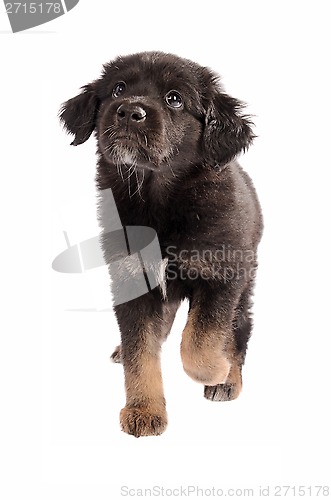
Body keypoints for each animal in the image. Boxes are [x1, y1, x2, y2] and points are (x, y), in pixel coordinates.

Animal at [59, 51, 262, 438]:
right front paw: (144, 410)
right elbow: (141, 353)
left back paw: (230, 378)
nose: (128, 111)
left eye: (174, 99)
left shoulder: (222, 277)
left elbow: (201, 337)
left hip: (245, 282)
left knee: (239, 329)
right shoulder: (131, 280)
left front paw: (213, 370)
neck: (157, 197)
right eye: (118, 89)